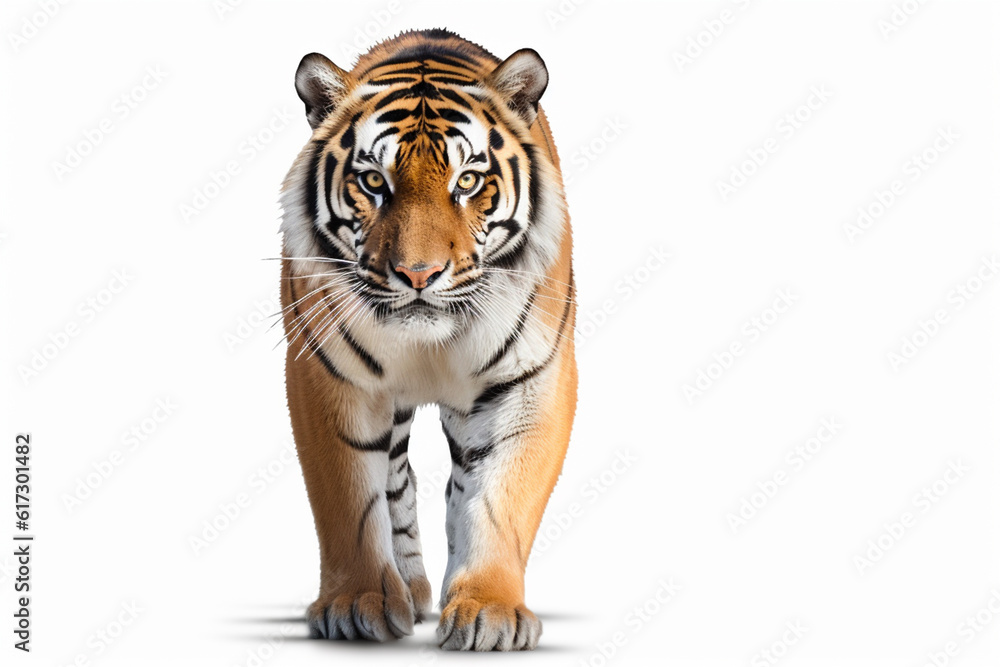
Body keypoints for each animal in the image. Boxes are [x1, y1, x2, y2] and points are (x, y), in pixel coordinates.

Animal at [278, 28, 576, 651]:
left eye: (467, 181)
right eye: (374, 181)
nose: (419, 274)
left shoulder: (530, 382)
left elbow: (498, 499)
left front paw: (489, 611)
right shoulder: (327, 376)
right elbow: (349, 499)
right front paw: (357, 604)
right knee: (396, 482)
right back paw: (407, 590)